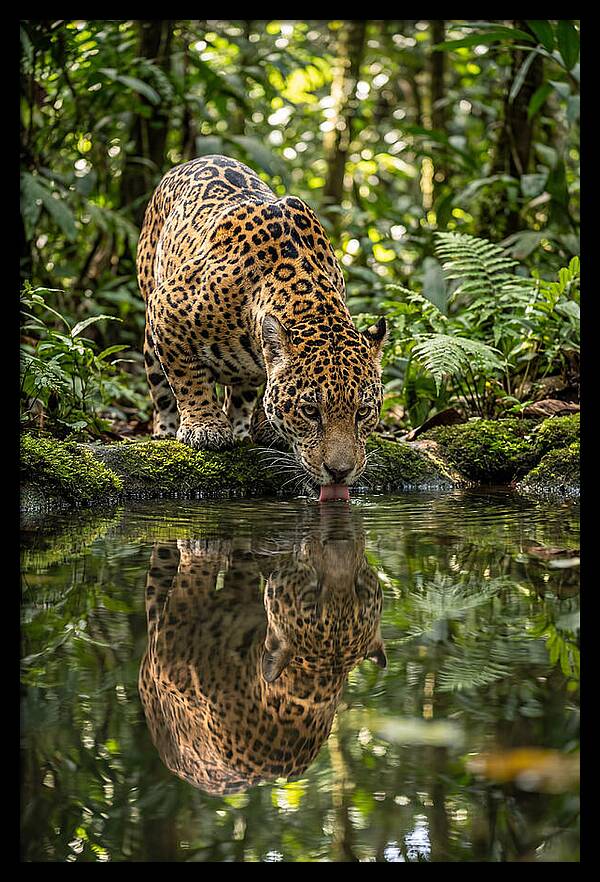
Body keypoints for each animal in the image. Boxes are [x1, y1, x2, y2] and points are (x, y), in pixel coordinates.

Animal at [136, 155, 387, 495]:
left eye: (363, 412)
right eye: (310, 411)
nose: (340, 472)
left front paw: (265, 428)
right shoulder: (166, 309)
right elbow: (188, 379)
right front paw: (206, 427)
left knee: (241, 391)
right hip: (150, 320)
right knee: (160, 387)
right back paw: (165, 429)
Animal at [138, 509, 386, 794]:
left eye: (360, 588)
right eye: (312, 593)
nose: (340, 539)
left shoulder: (169, 653)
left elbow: (195, 580)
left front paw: (203, 547)